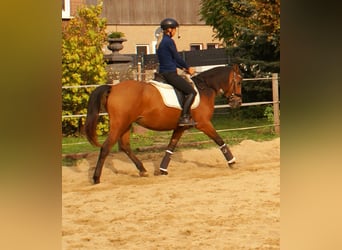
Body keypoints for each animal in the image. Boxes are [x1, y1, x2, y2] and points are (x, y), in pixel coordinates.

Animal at [84, 64, 242, 184]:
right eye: (239, 81)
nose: (238, 102)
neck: (205, 88)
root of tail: (113, 88)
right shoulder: (203, 123)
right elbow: (219, 140)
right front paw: (232, 162)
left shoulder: (180, 127)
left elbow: (171, 146)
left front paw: (162, 169)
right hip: (119, 124)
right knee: (106, 147)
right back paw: (96, 178)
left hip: (126, 124)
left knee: (124, 146)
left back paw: (142, 170)